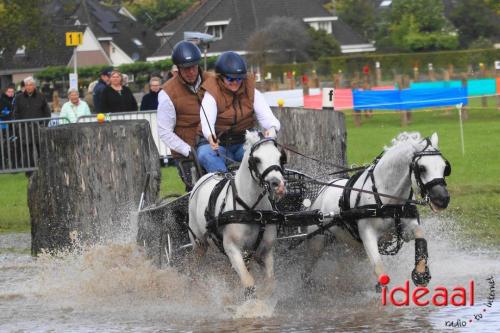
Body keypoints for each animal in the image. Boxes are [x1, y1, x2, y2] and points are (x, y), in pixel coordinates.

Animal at [189, 130, 288, 298]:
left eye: (280, 157)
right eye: (257, 159)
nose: (278, 185)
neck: (253, 211)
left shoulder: (265, 251)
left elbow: (269, 284)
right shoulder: (232, 248)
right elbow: (248, 283)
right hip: (199, 244)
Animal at [302, 131, 452, 290]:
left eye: (445, 167)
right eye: (422, 168)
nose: (442, 199)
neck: (387, 199)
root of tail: (323, 190)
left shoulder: (404, 230)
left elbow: (420, 236)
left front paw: (421, 273)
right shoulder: (367, 234)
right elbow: (378, 266)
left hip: (349, 245)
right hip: (317, 242)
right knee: (308, 264)